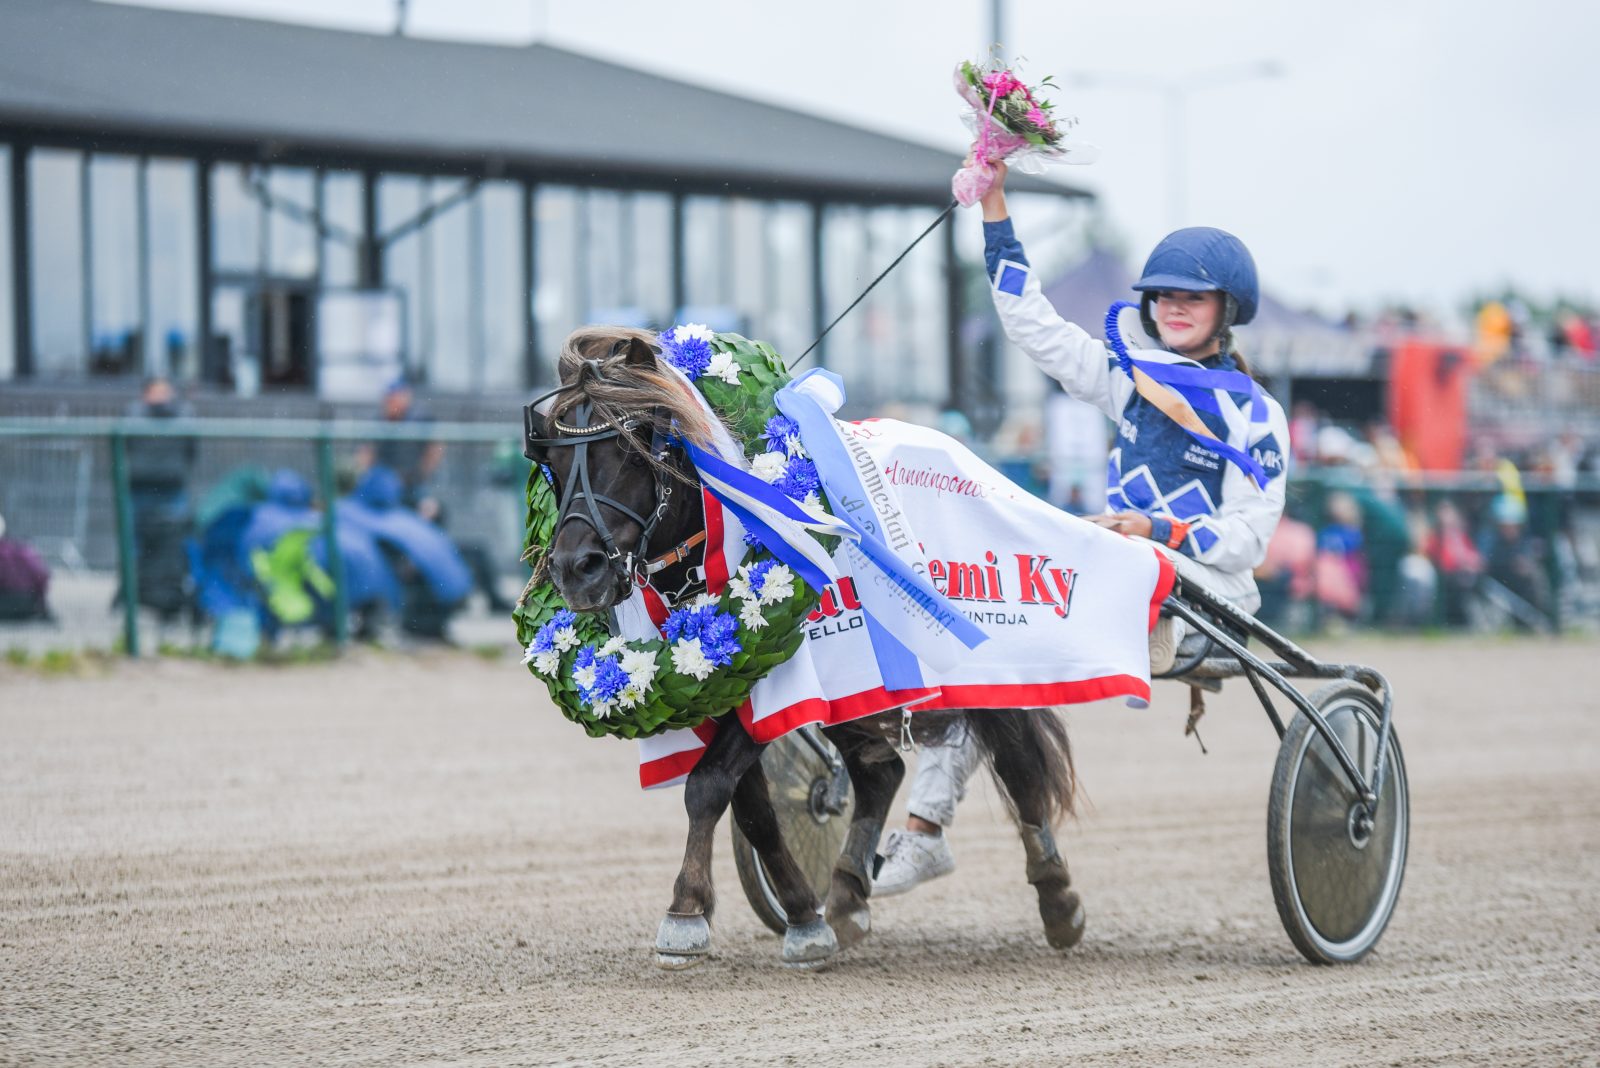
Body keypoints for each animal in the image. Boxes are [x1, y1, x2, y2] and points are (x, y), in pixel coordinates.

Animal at [531, 326, 1094, 965]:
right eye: (551, 460)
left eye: (630, 450)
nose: (575, 569)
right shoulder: (720, 684)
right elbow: (752, 809)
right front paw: (804, 912)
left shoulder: (772, 671)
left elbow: (707, 786)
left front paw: (686, 909)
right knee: (880, 772)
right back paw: (847, 890)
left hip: (979, 662)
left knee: (1016, 755)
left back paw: (1056, 894)